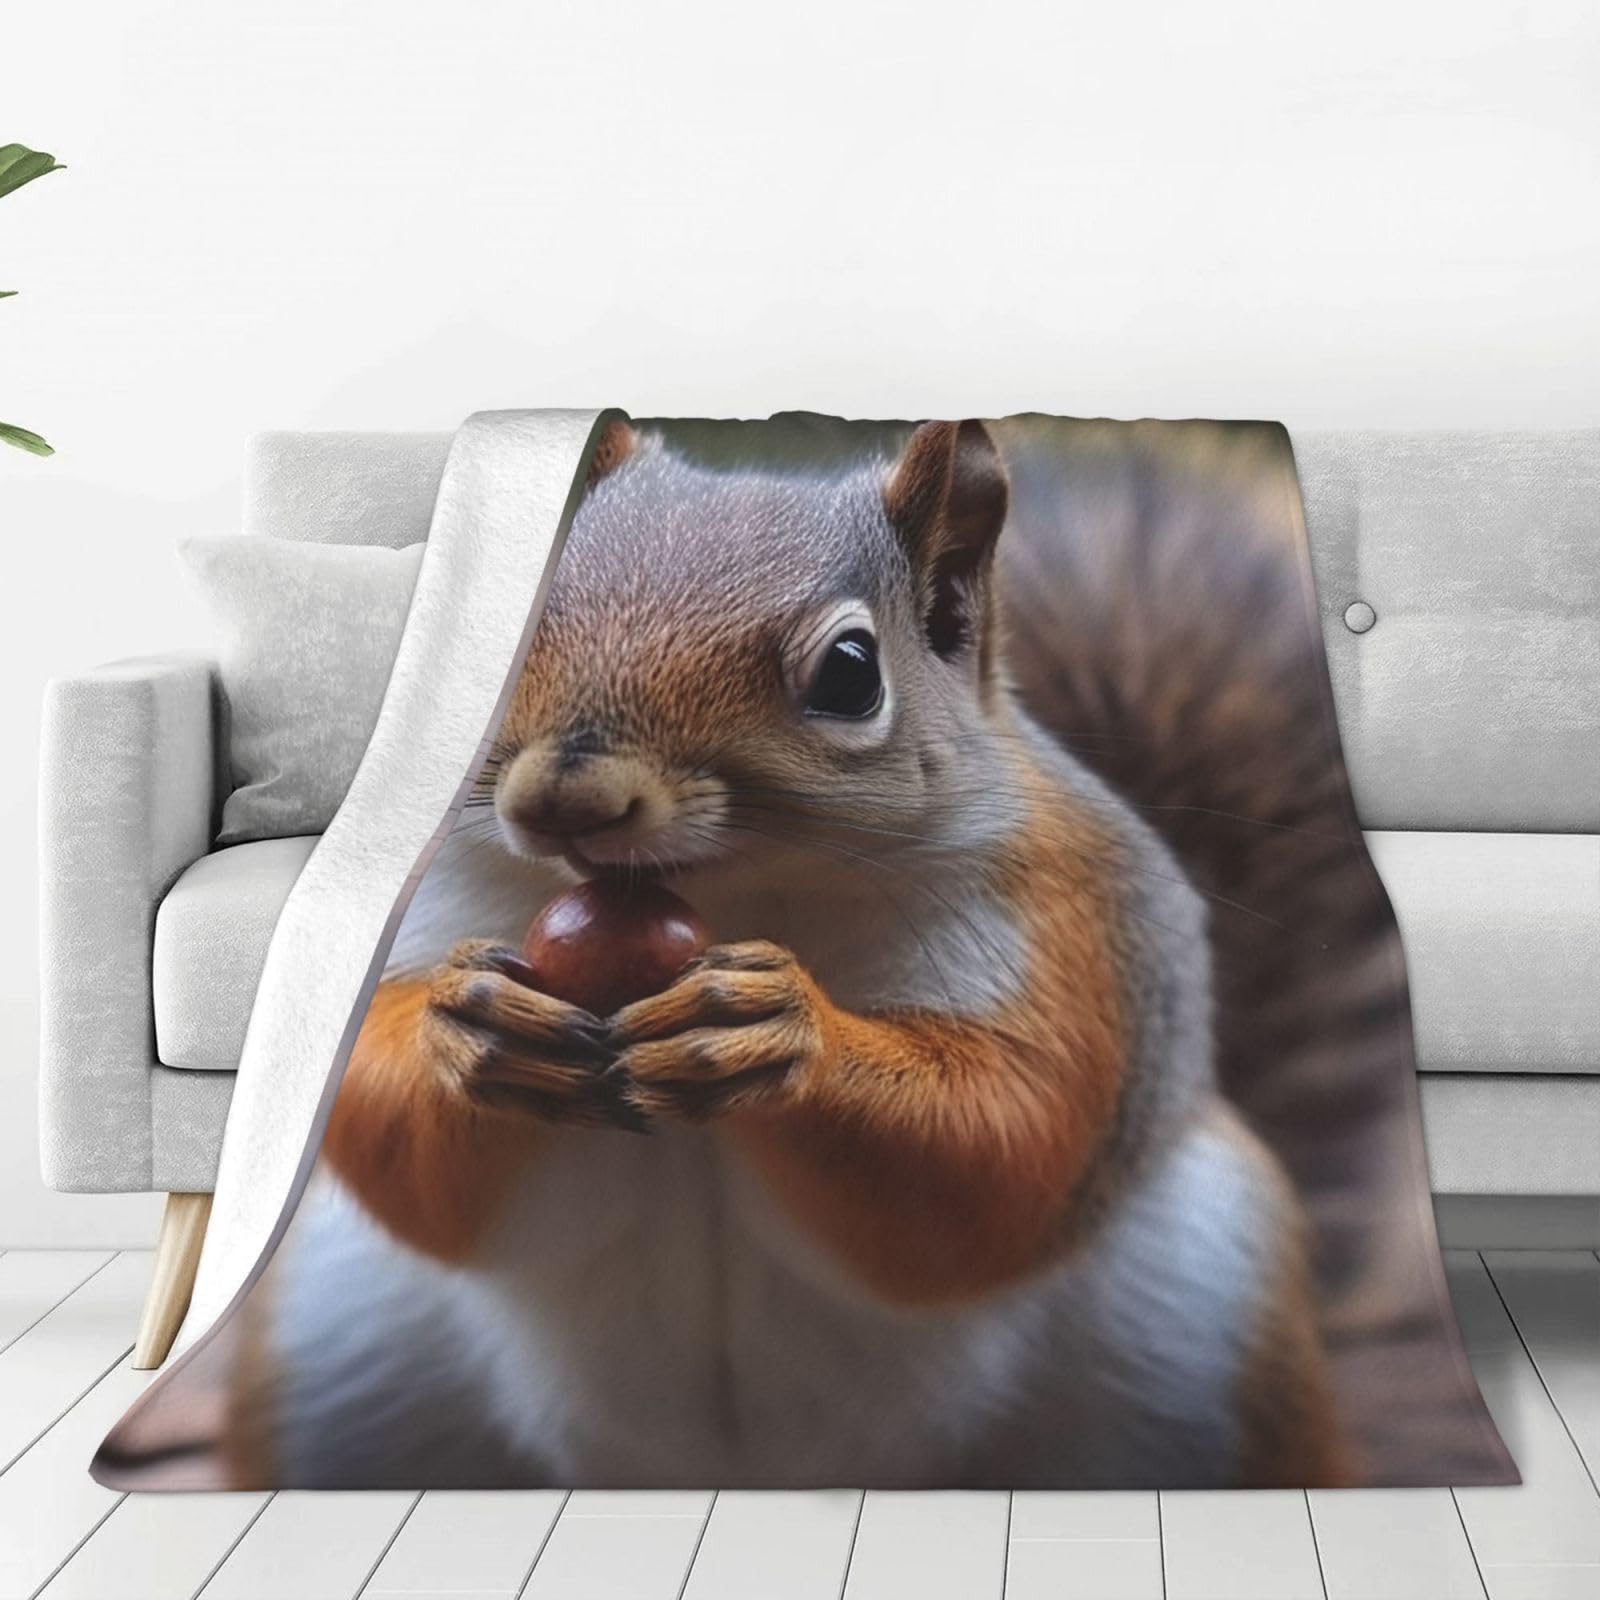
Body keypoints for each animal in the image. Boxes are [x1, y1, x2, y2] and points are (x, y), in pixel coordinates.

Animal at [226, 418, 1349, 1489]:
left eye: (851, 674)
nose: (566, 799)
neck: (728, 891)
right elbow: (379, 1126)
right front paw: (469, 1033)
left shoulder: (1060, 923)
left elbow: (1009, 1135)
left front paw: (775, 1033)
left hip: (1194, 1342)